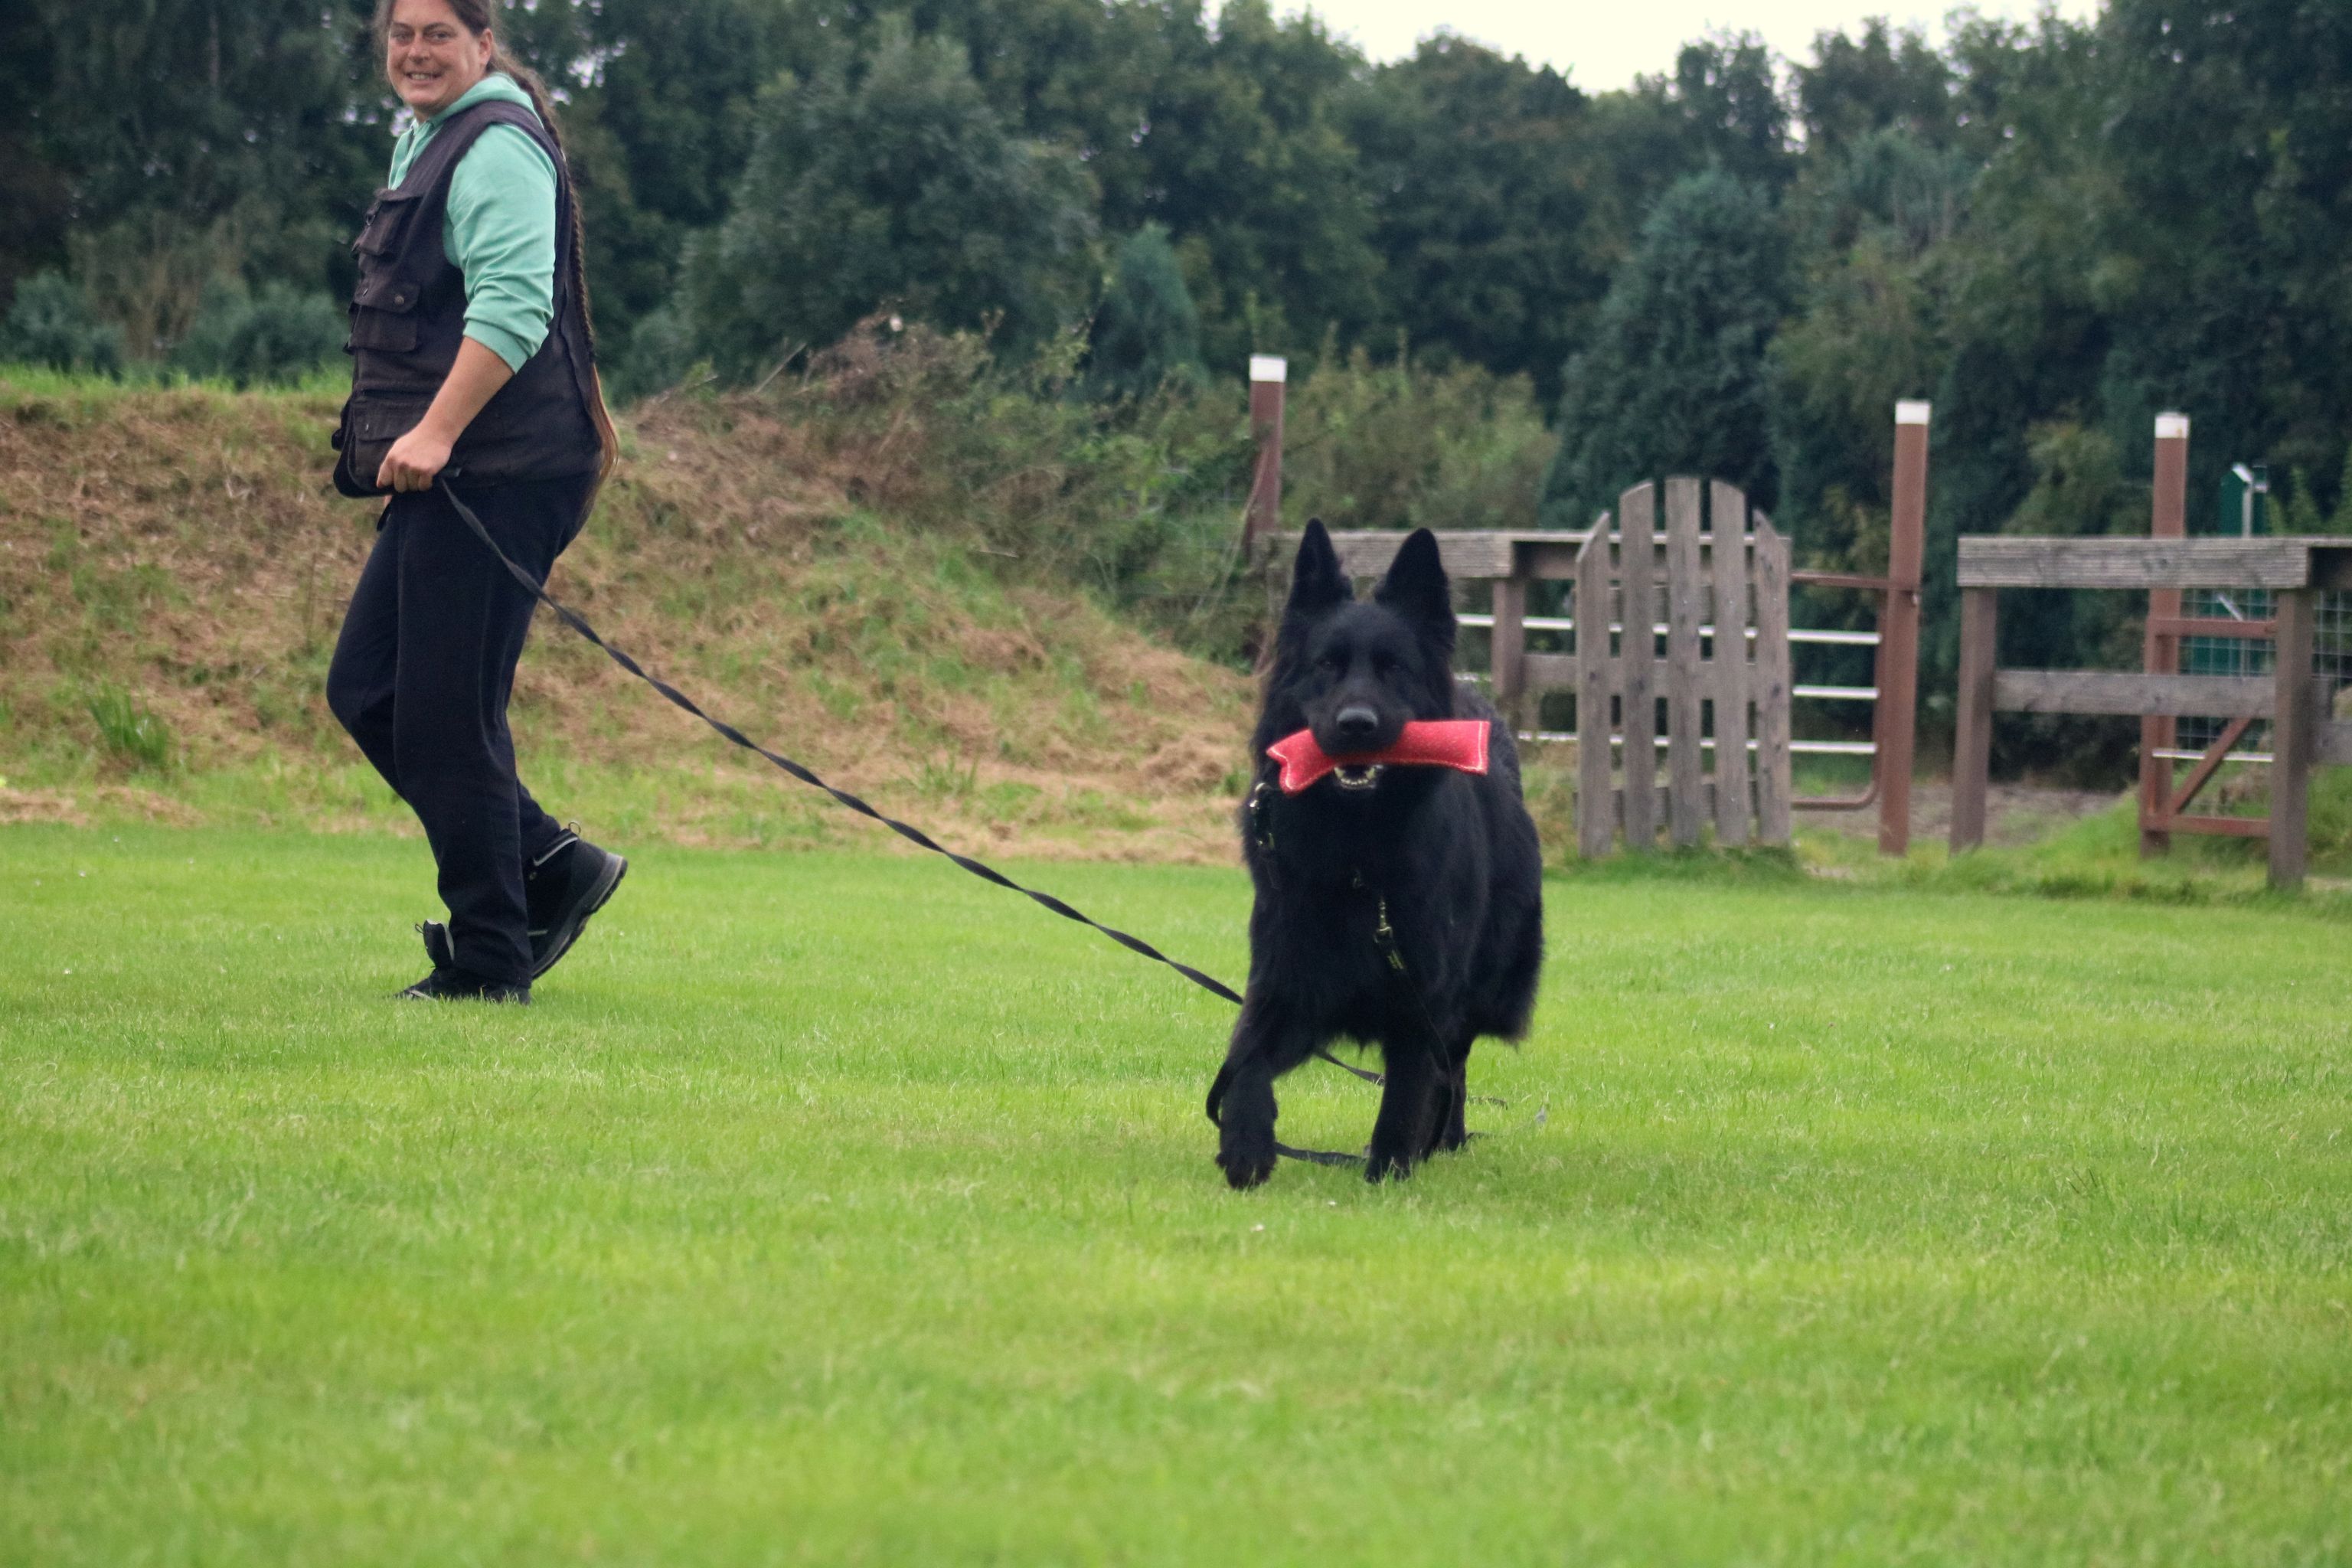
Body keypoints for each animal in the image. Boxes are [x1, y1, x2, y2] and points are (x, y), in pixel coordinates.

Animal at [1209, 521, 1544, 1188]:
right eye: (1326, 666)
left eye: (1393, 668)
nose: (1357, 723)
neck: (1356, 849)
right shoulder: (1286, 975)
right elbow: (1245, 1059)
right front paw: (1245, 1145)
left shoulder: (1423, 993)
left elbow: (1408, 1089)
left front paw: (1388, 1169)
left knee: (1455, 1067)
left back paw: (1445, 1141)